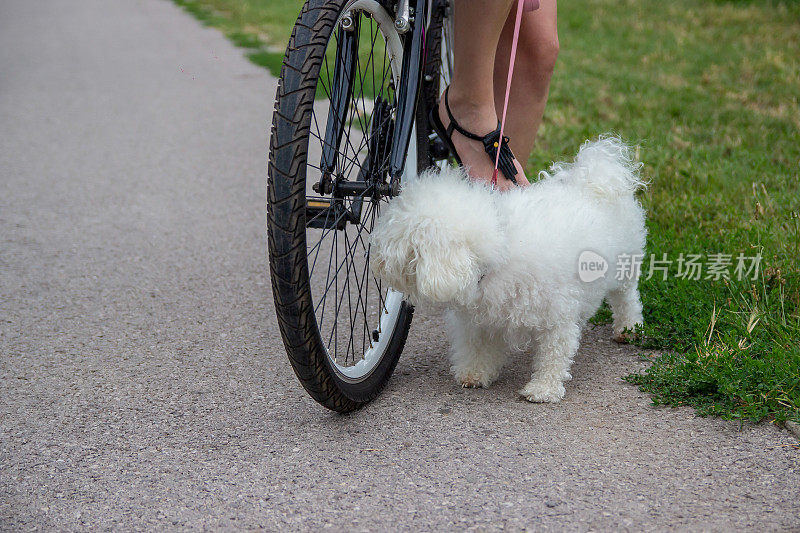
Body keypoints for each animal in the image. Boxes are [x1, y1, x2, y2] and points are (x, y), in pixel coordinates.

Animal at [372, 135, 648, 402]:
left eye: (399, 239)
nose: (377, 260)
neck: (499, 249)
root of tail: (595, 177)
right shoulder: (479, 318)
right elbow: (477, 346)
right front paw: (474, 373)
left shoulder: (557, 314)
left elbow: (554, 353)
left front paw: (544, 388)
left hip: (625, 266)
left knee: (626, 298)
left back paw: (628, 328)